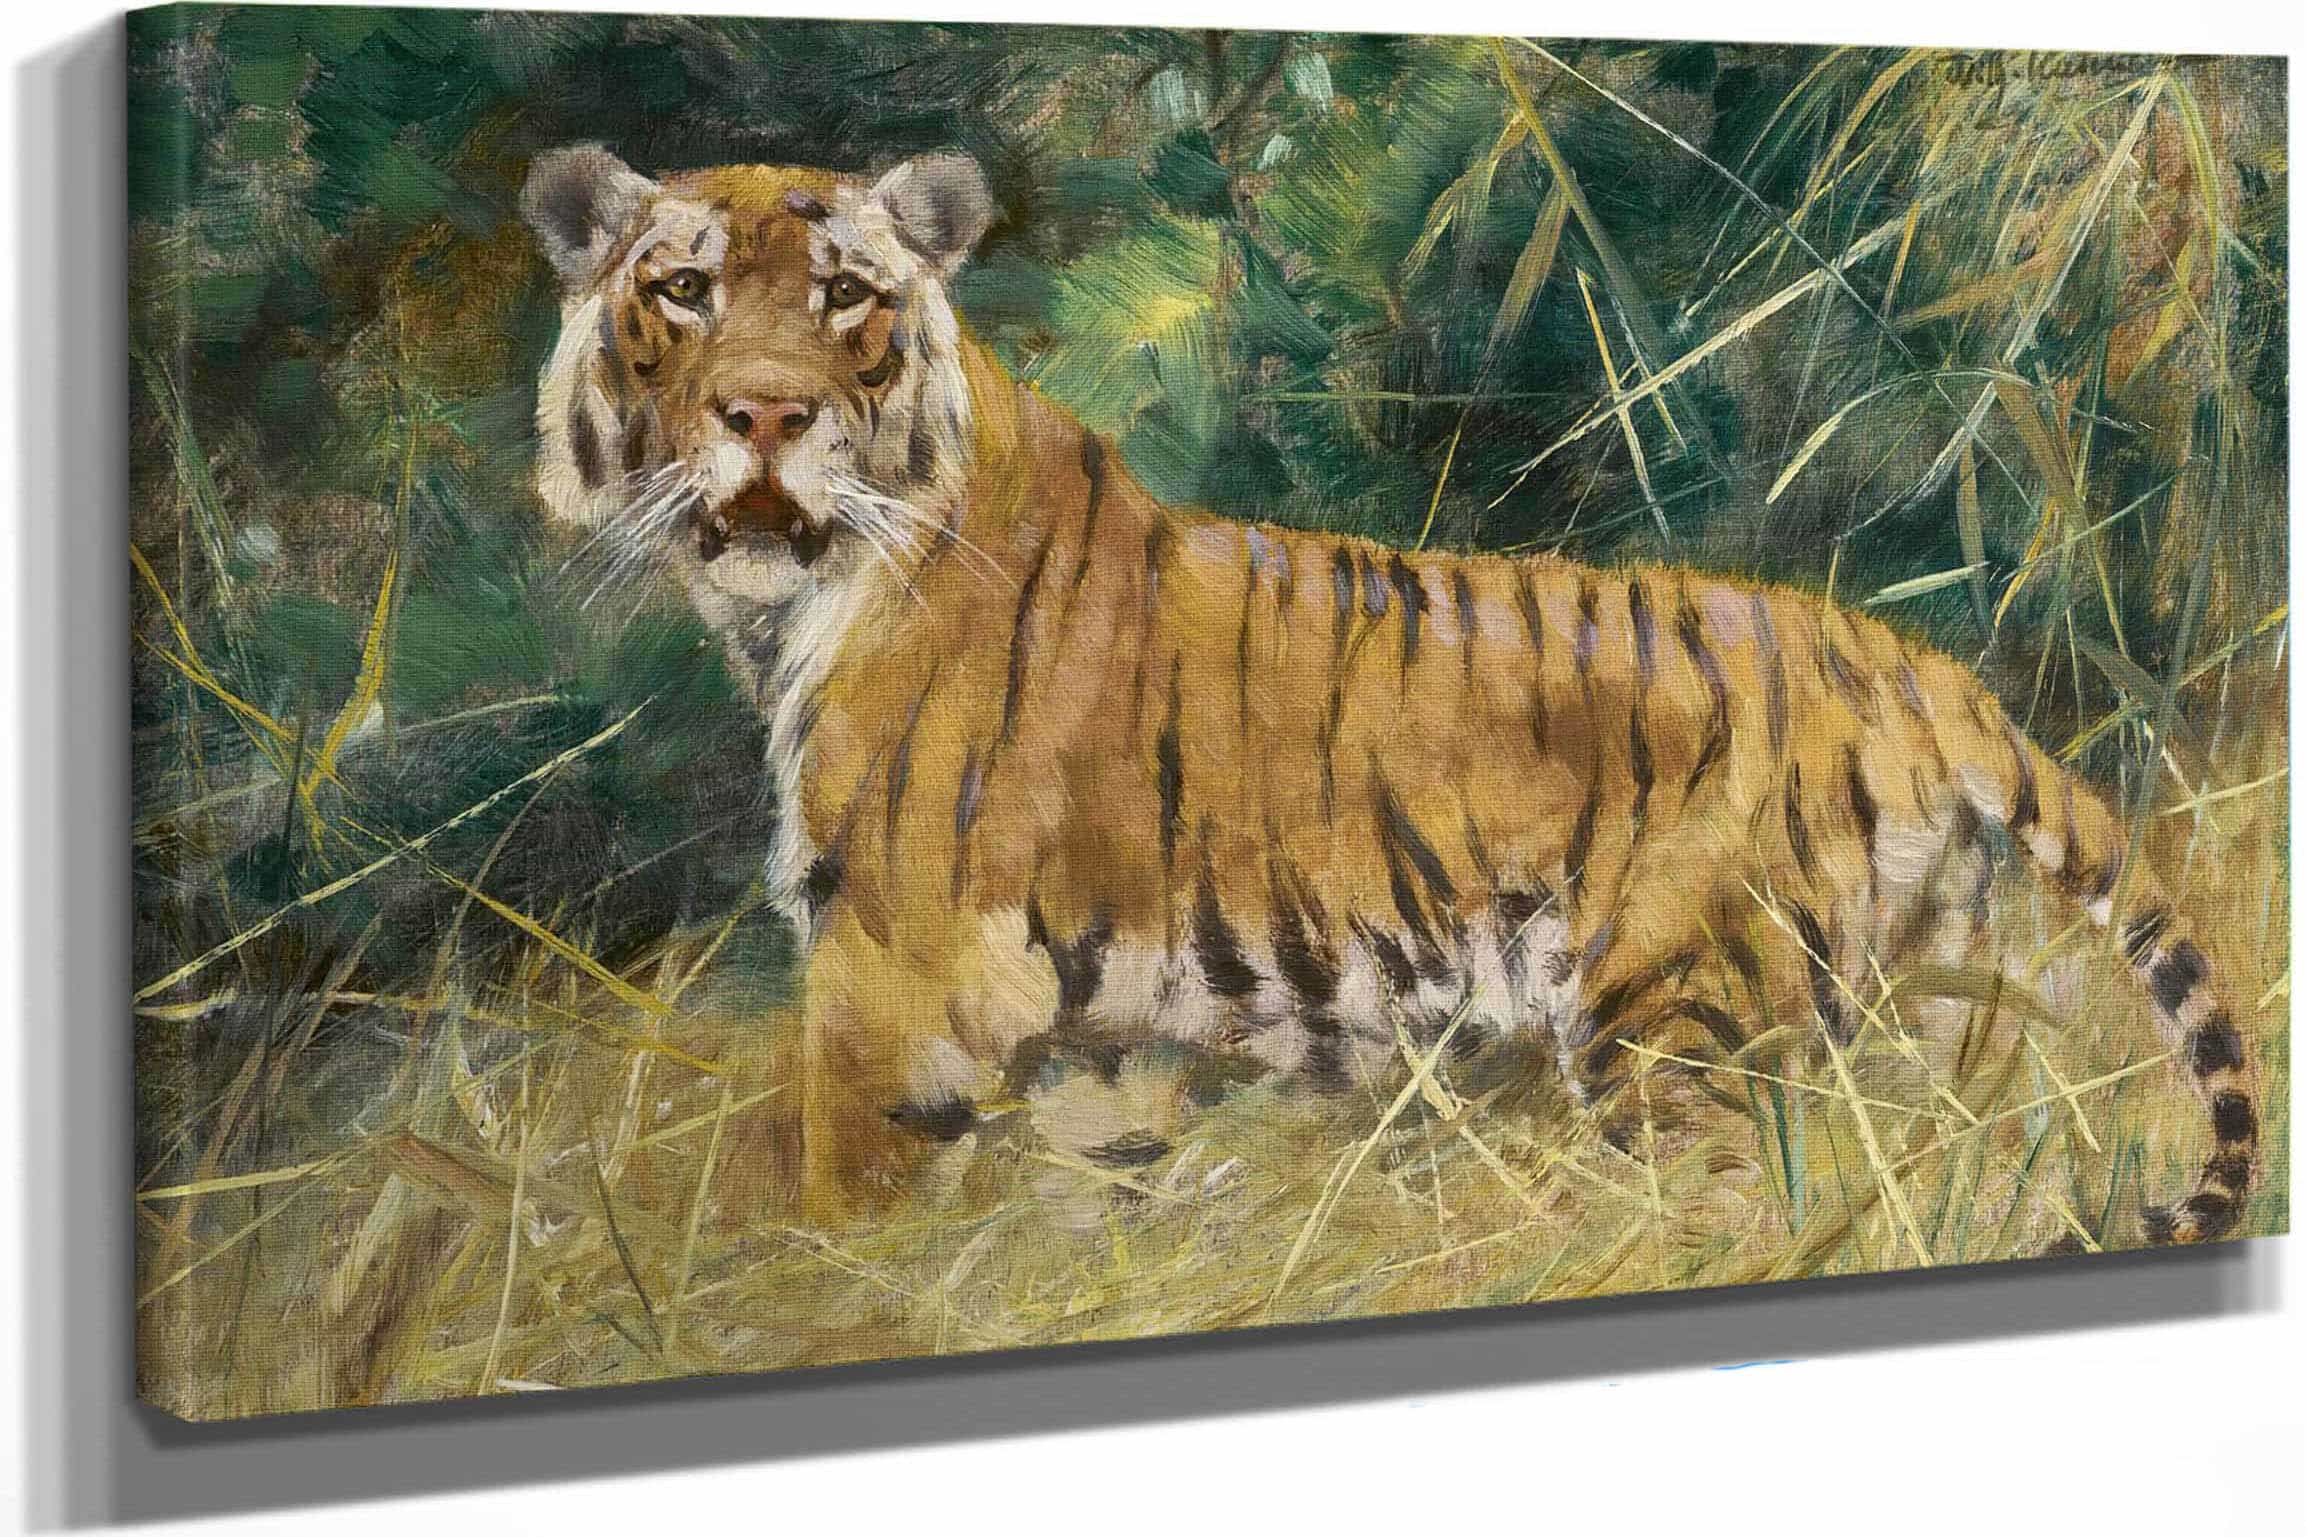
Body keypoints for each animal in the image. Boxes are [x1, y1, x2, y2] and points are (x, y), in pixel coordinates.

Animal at [519, 143, 2258, 1243]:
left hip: (1680, 1022)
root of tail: (1912, 664)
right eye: (683, 293)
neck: (789, 608)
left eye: (844, 298)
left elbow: (839, 1219)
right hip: (1914, 1004)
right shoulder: (1098, 1046)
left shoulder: (895, 982)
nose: (764, 416)